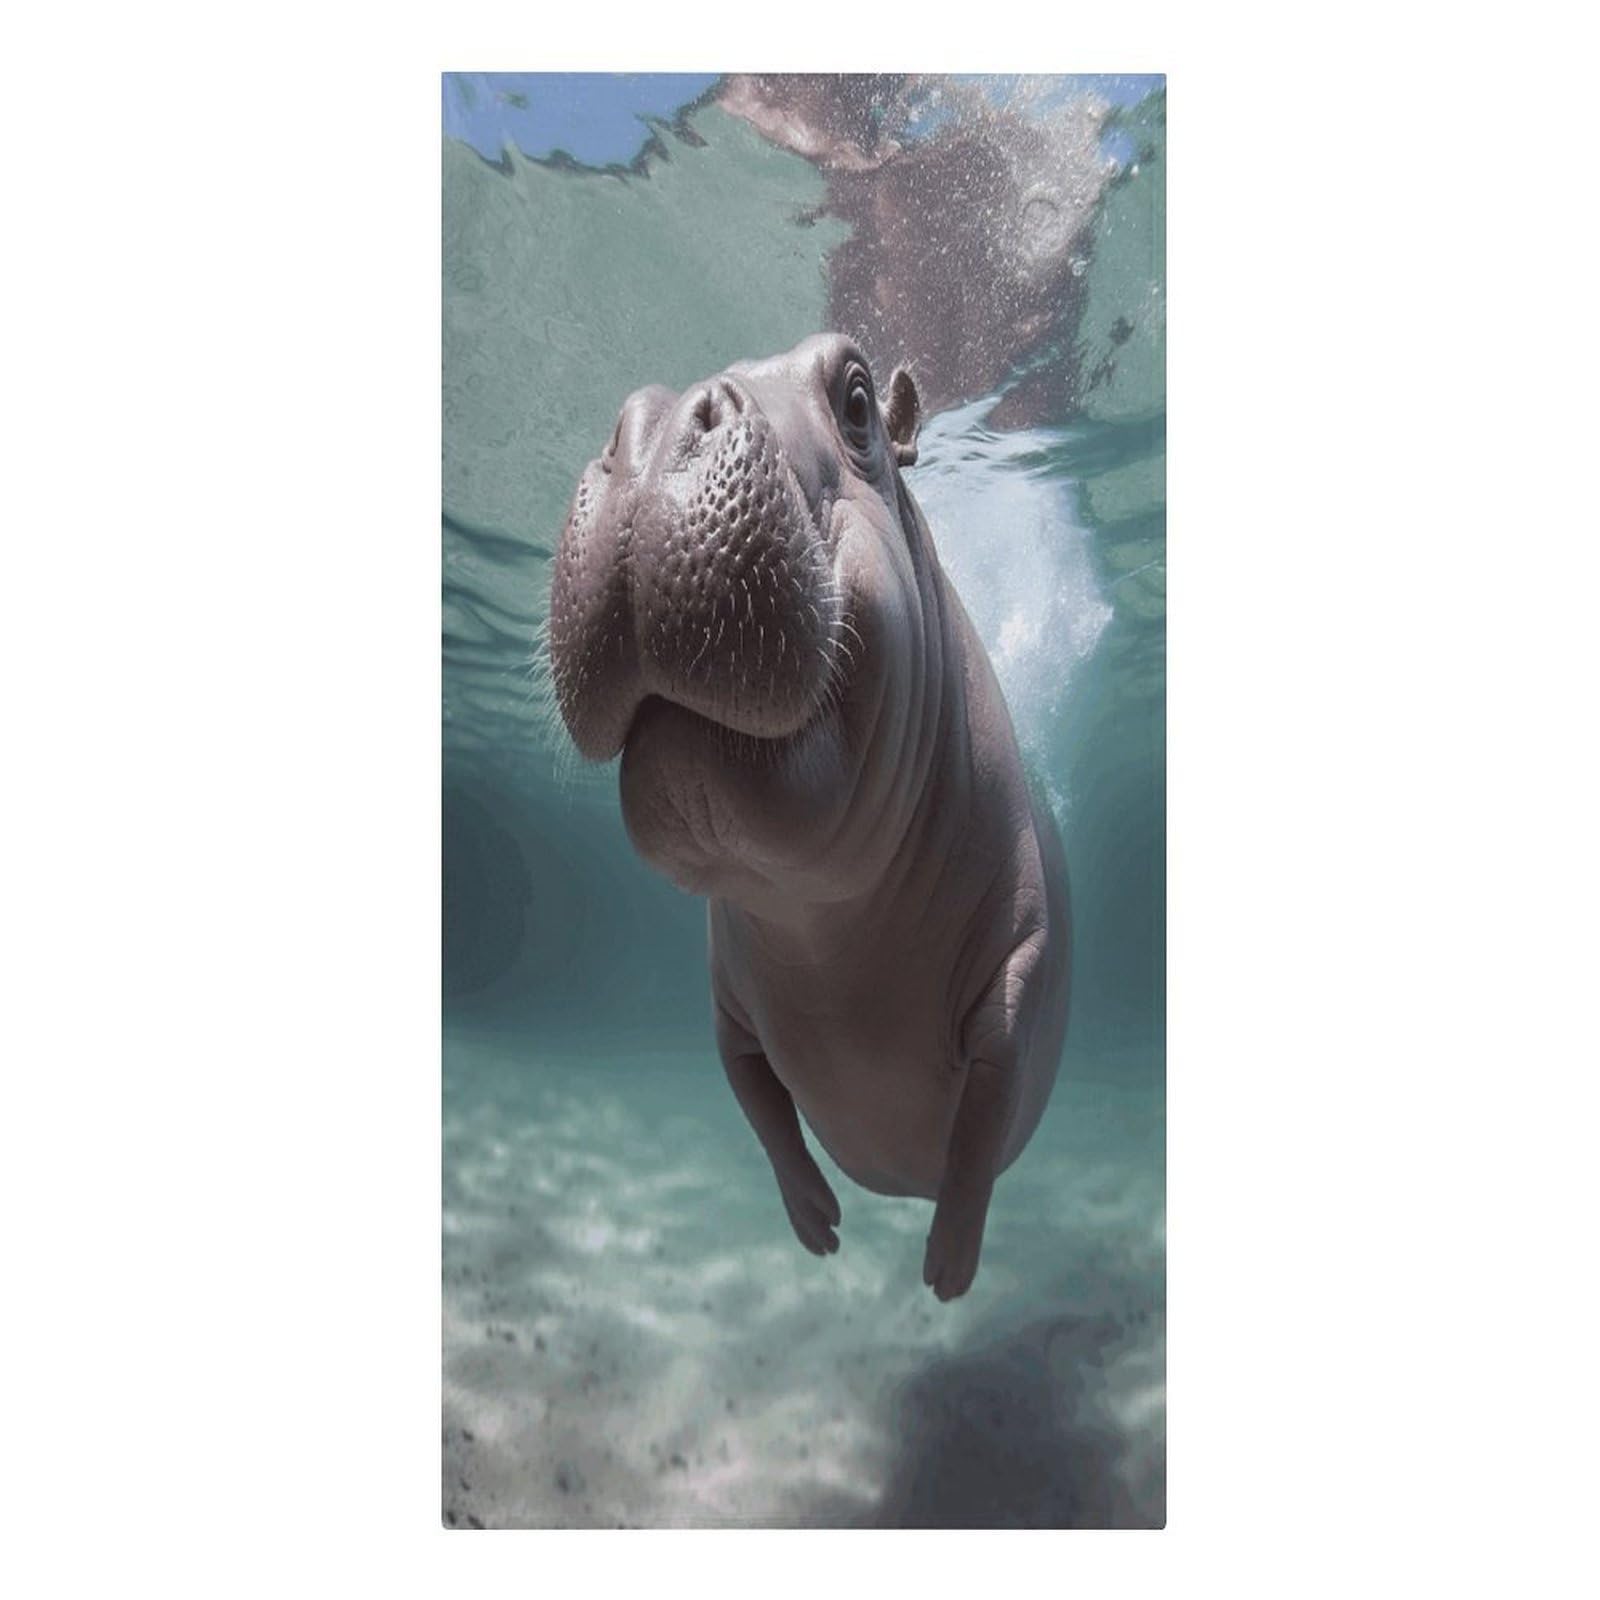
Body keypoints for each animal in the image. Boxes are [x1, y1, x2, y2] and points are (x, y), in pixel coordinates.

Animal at [548, 333, 1070, 1299]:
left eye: (857, 398)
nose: (656, 426)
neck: (821, 923)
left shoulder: (1022, 967)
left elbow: (982, 1124)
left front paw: (946, 1272)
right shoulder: (726, 1009)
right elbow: (757, 1106)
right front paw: (819, 1228)